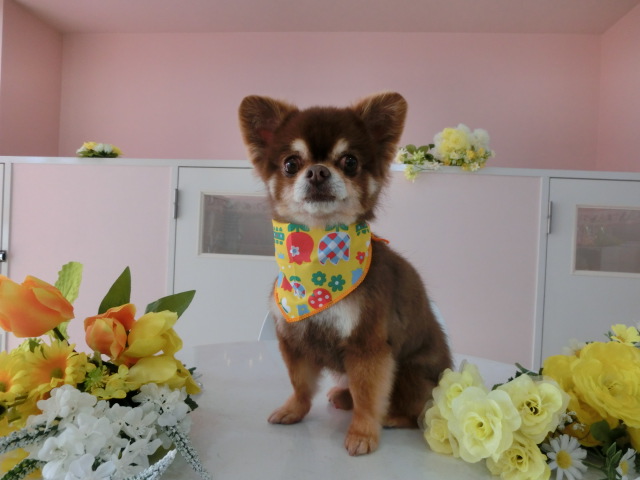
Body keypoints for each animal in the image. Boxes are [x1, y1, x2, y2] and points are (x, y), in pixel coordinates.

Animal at [238, 92, 452, 456]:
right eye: (291, 164)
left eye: (349, 161)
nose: (318, 172)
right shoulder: (294, 339)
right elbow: (300, 385)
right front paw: (294, 410)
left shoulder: (367, 347)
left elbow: (369, 396)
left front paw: (363, 433)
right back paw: (342, 395)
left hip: (411, 372)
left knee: (418, 410)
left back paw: (392, 417)